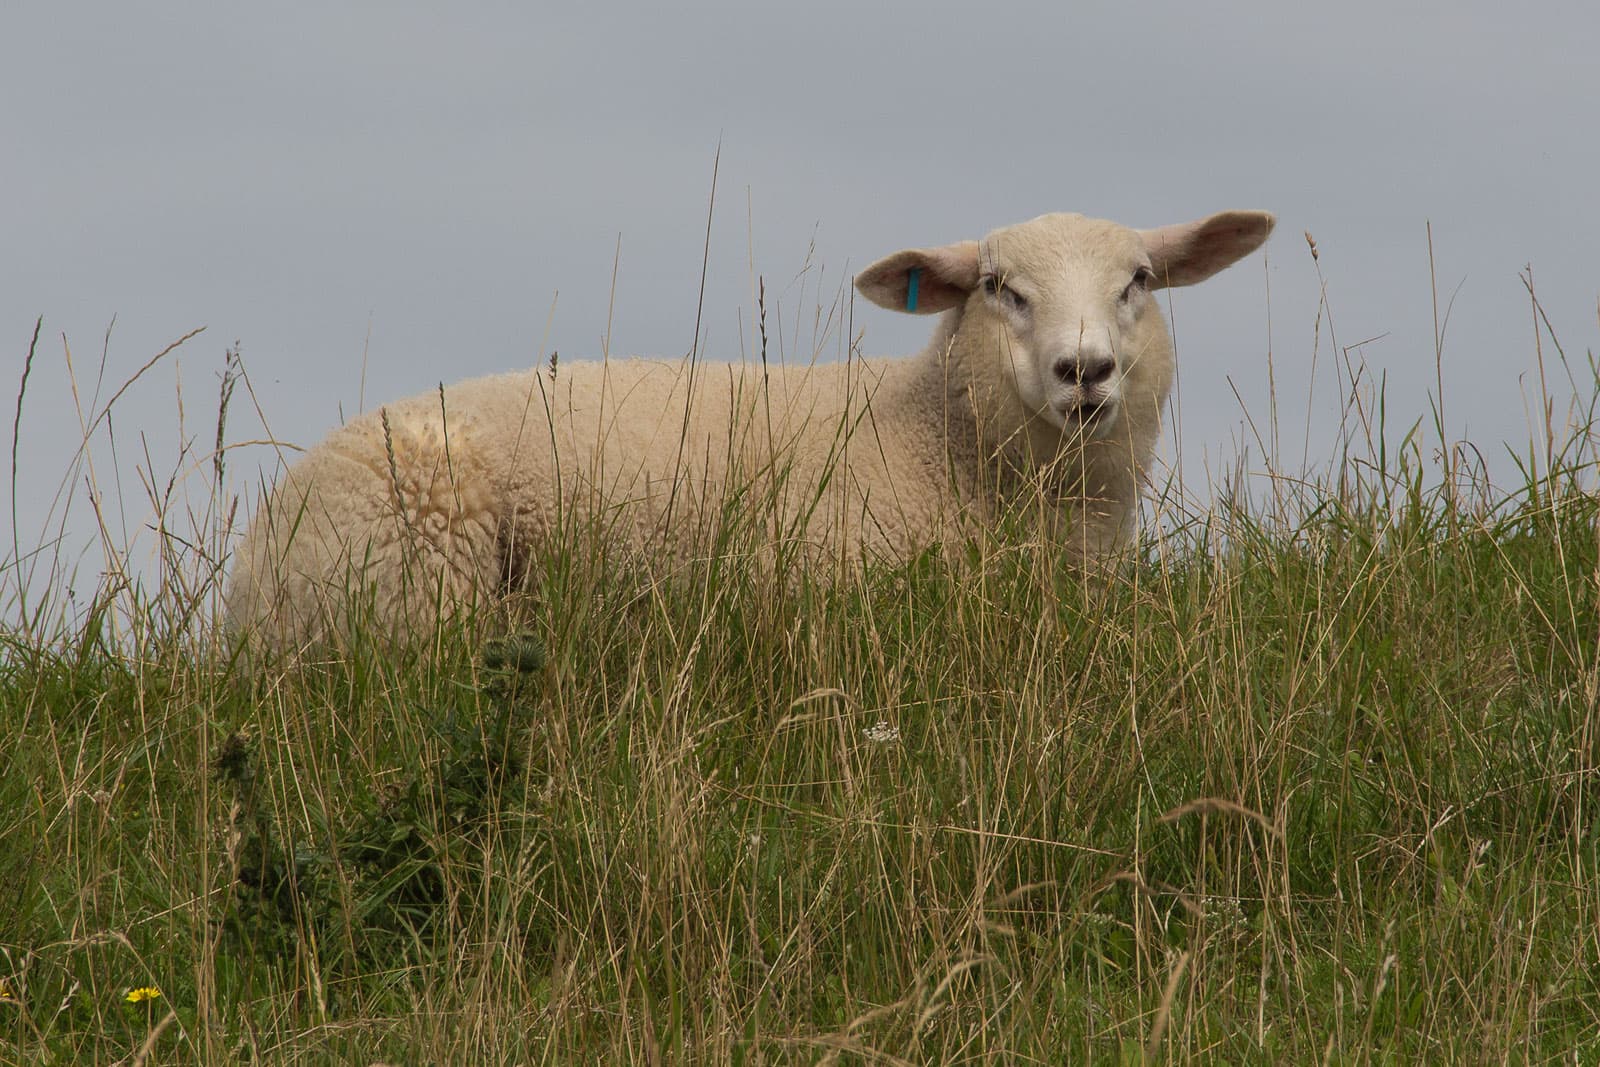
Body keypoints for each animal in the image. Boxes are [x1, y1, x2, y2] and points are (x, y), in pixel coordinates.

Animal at [225, 209, 1274, 654]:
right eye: (997, 287)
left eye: (1139, 280)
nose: (1084, 370)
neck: (939, 443)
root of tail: (247, 584)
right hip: (411, 581)